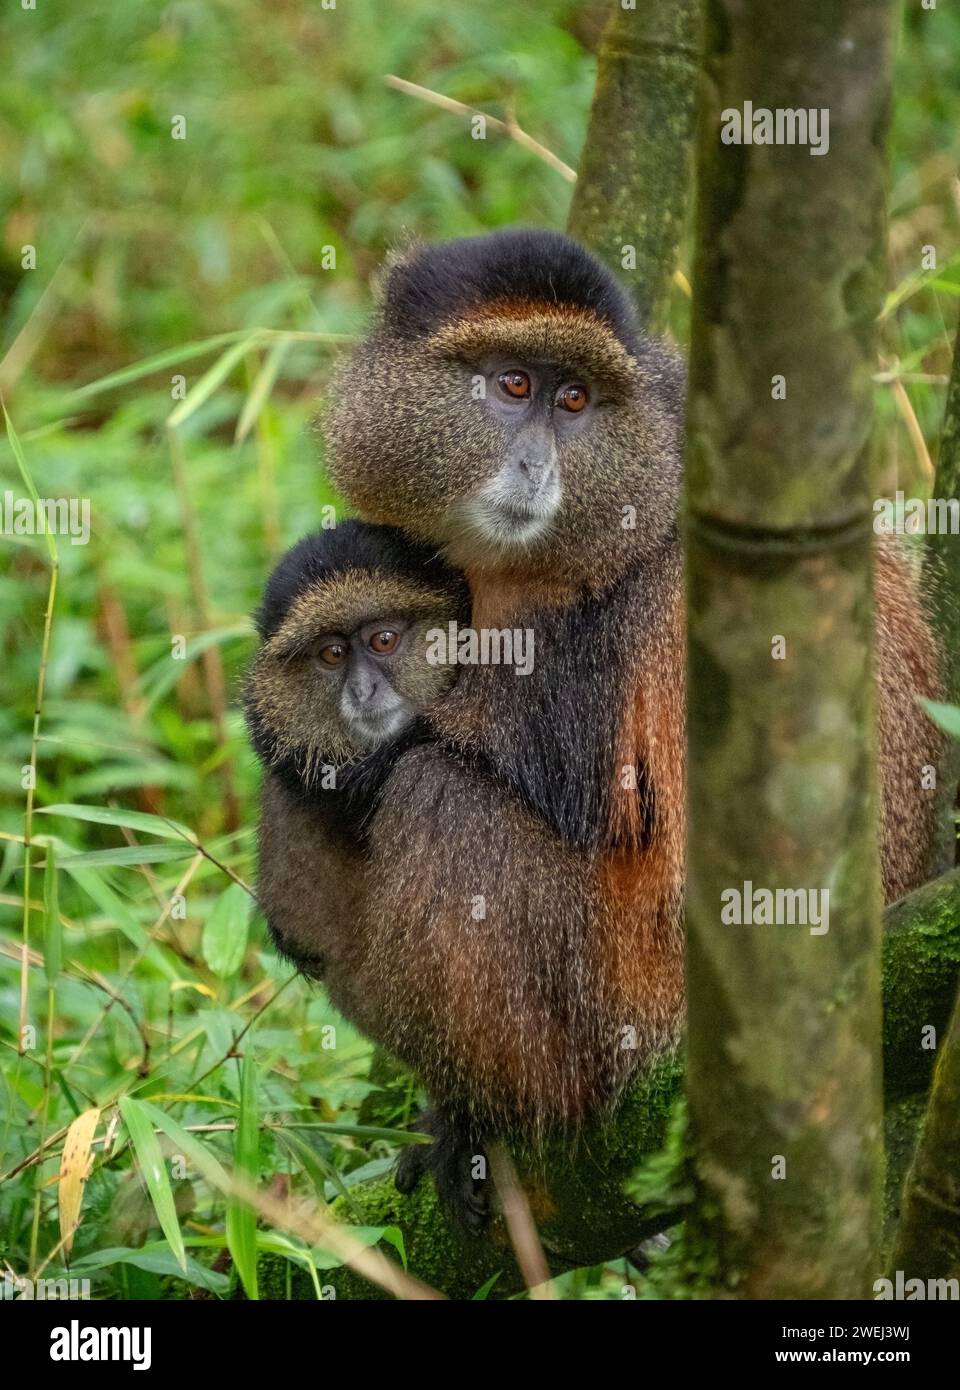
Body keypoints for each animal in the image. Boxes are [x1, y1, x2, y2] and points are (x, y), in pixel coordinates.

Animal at [320, 229, 944, 1230]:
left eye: (574, 400)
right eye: (513, 385)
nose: (535, 465)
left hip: (625, 1012)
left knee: (439, 799)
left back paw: (485, 1114)